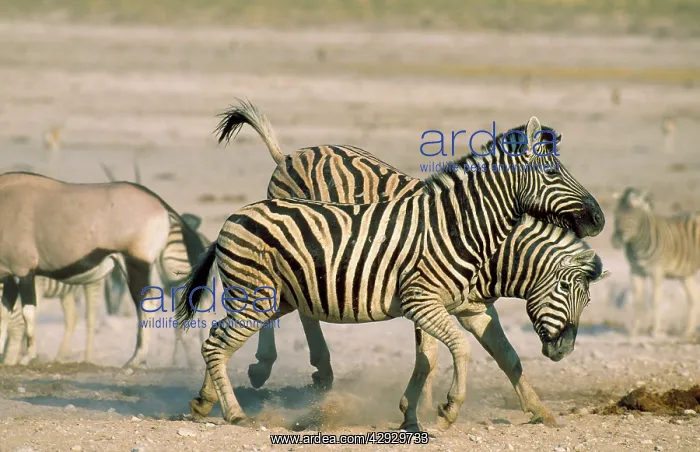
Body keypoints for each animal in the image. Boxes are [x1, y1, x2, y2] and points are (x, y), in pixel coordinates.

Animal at [0, 171, 206, 368]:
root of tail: (160, 204)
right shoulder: (8, 277)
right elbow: (3, 313)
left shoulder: (23, 272)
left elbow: (28, 313)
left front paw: (27, 358)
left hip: (136, 263)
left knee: (146, 305)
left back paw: (135, 360)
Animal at [175, 111, 605, 431]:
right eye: (553, 174)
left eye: (585, 299)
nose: (598, 218)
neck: (466, 230)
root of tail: (288, 156)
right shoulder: (424, 301)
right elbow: (444, 353)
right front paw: (440, 409)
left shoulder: (469, 306)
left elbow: (502, 356)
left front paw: (540, 411)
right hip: (260, 292)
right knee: (228, 338)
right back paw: (244, 403)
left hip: (277, 292)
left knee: (227, 335)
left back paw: (207, 400)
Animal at [612, 187, 700, 338]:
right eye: (616, 215)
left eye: (631, 216)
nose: (615, 241)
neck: (638, 244)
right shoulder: (635, 271)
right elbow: (638, 301)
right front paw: (634, 331)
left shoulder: (657, 272)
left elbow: (655, 300)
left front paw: (655, 331)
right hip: (685, 274)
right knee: (694, 298)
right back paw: (687, 332)